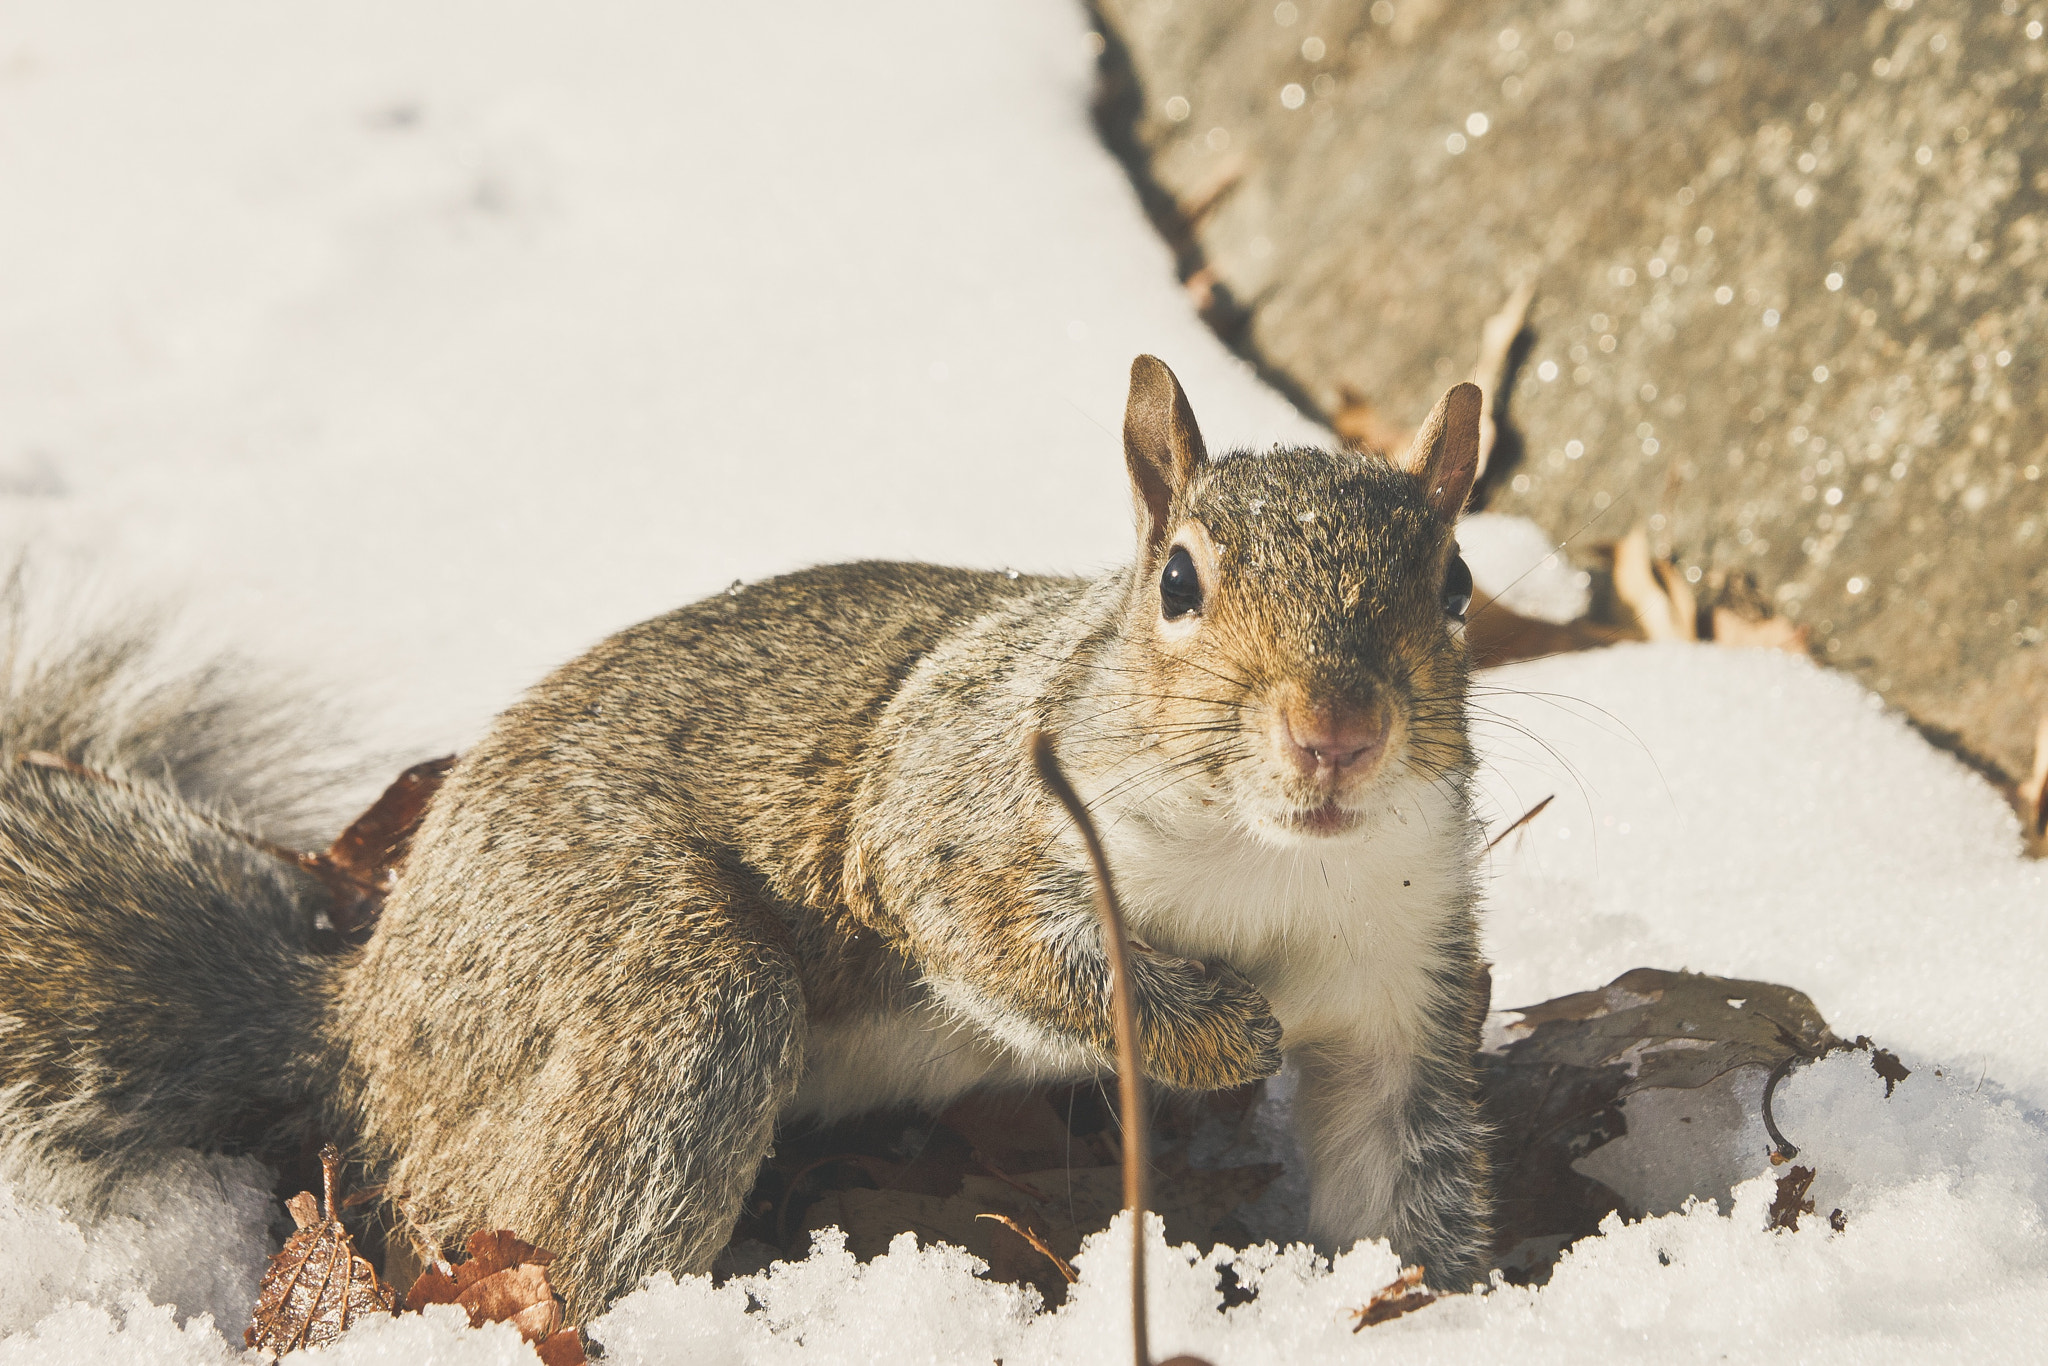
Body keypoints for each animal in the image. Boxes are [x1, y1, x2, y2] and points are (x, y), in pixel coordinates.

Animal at [0, 357, 1493, 1311]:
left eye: (1458, 581)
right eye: (1177, 581)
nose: (1336, 728)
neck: (1273, 862)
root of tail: (360, 1014)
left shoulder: (1404, 977)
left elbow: (1400, 1179)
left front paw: (1432, 1302)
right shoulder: (949, 813)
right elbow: (1018, 946)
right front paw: (1221, 1032)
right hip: (663, 1000)